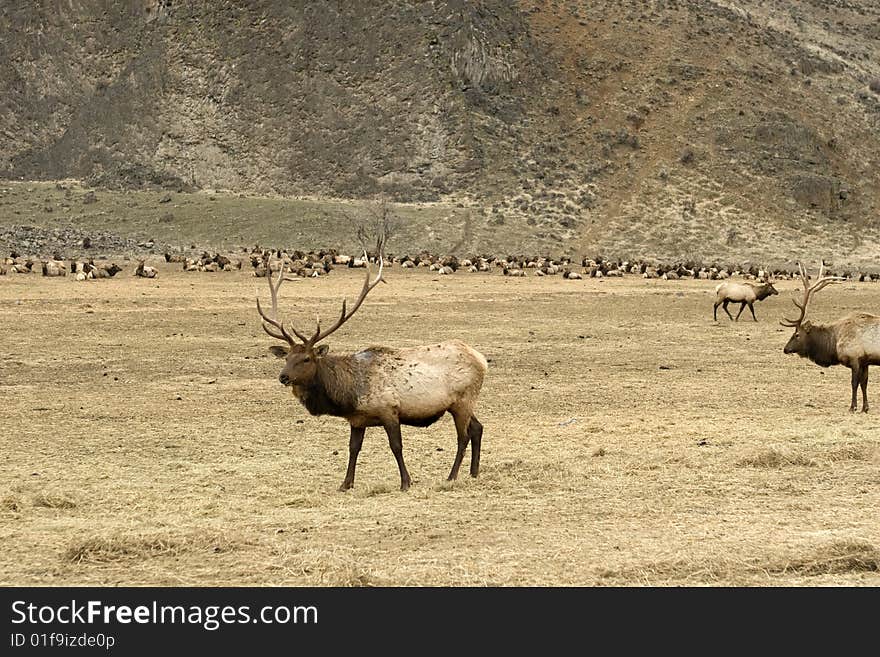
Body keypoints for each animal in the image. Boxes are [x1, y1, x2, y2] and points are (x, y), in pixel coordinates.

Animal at [256, 223, 488, 490]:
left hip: (463, 399)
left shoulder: (390, 411)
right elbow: (353, 448)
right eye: (286, 358)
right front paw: (345, 483)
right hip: (461, 403)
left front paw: (406, 482)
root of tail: (482, 359)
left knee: (463, 436)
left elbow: (396, 447)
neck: (348, 394)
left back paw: (452, 476)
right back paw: (474, 472)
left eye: (307, 359)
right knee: (478, 428)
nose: (283, 377)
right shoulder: (357, 419)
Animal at [780, 262, 880, 410]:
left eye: (797, 334)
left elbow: (854, 383)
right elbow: (864, 383)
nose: (785, 349)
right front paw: (865, 408)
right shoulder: (865, 361)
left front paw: (853, 407)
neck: (833, 343)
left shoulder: (855, 358)